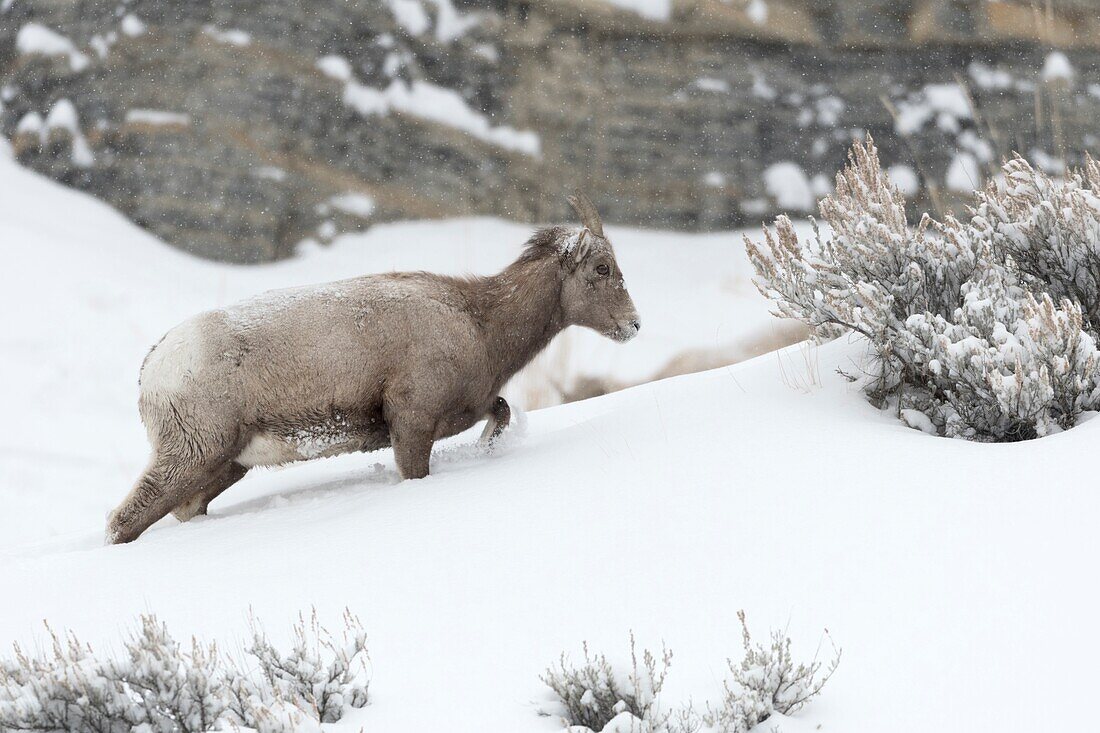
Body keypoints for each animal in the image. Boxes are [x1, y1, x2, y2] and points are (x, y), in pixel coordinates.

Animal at [107, 192, 642, 541]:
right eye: (601, 269)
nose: (634, 325)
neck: (478, 321)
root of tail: (154, 365)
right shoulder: (412, 423)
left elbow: (503, 413)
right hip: (190, 456)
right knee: (122, 524)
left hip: (223, 466)